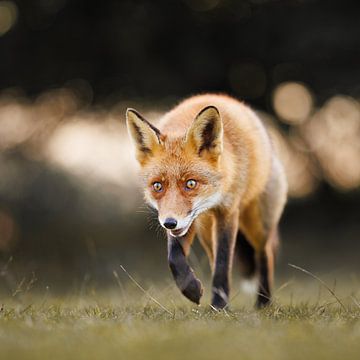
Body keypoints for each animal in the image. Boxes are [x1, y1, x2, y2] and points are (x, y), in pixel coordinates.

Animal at [126, 94, 286, 308]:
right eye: (157, 186)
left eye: (191, 183)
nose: (169, 223)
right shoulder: (184, 220)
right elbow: (174, 257)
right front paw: (192, 289)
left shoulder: (228, 212)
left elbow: (223, 263)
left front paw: (219, 306)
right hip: (205, 231)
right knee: (215, 257)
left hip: (258, 223)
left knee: (265, 253)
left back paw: (263, 302)